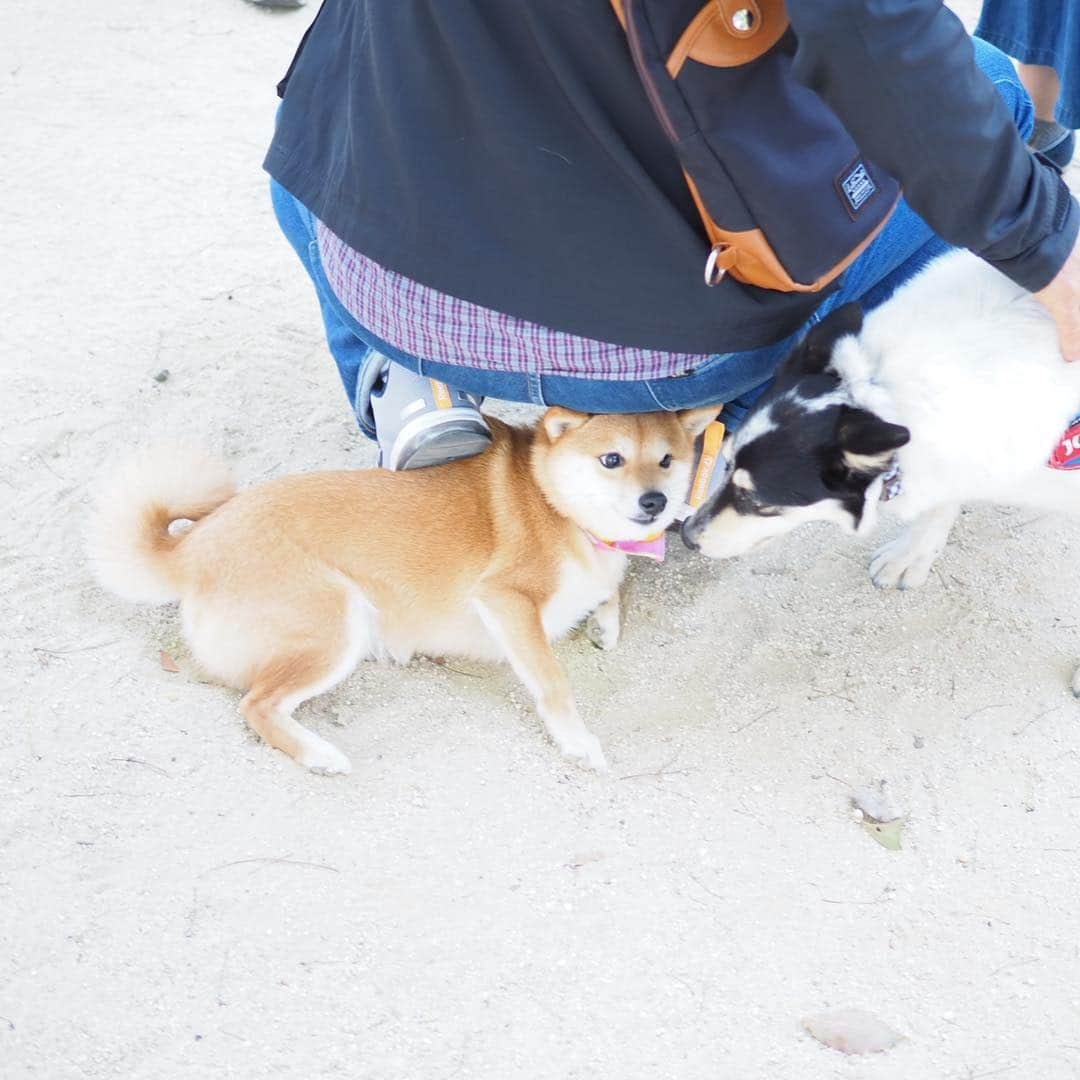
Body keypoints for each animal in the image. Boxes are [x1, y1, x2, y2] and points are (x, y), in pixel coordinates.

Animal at [86, 406, 717, 777]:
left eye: (667, 460)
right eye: (612, 459)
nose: (656, 501)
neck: (558, 507)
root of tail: (191, 548)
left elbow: (613, 587)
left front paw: (604, 619)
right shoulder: (505, 601)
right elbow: (553, 683)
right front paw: (576, 741)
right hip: (337, 623)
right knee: (257, 706)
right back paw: (319, 754)